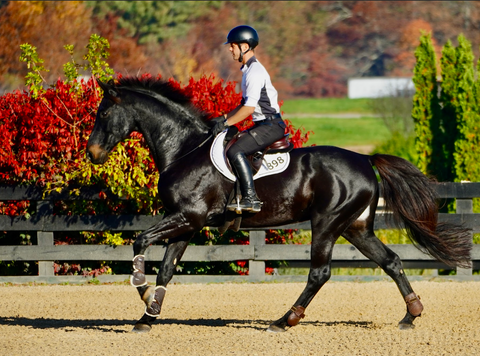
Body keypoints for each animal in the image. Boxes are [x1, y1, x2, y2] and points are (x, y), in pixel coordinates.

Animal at [87, 77, 472, 334]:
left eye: (103, 113)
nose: (92, 154)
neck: (185, 149)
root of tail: (365, 159)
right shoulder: (187, 223)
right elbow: (167, 269)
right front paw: (147, 316)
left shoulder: (186, 217)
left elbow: (140, 241)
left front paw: (142, 293)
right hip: (356, 227)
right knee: (390, 261)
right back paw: (411, 314)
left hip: (327, 223)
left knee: (320, 273)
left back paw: (284, 320)